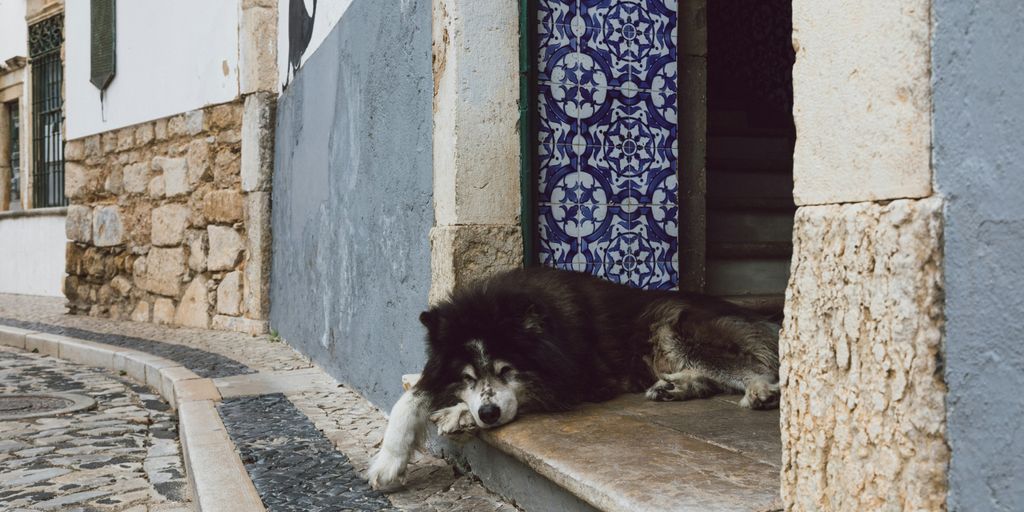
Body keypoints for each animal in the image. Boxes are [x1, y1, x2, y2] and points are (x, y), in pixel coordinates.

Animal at [368, 268, 774, 487]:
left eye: (506, 370)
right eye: (467, 376)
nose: (487, 415)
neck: (553, 332)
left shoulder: (578, 382)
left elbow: (521, 397)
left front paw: (459, 414)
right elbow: (409, 399)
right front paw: (388, 462)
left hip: (672, 332)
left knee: (757, 367)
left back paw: (761, 392)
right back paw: (675, 387)